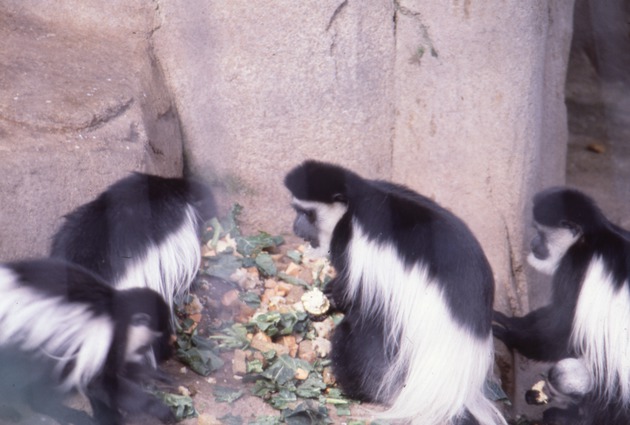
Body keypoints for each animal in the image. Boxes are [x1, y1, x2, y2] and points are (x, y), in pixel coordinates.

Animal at [0, 256, 174, 424]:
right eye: (146, 345)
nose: (143, 352)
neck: (117, 315)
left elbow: (121, 368)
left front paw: (160, 376)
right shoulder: (105, 339)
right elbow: (100, 383)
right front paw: (158, 408)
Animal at [284, 160, 506, 424]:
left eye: (308, 214)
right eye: (297, 210)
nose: (296, 228)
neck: (351, 210)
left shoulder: (355, 245)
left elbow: (355, 291)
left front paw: (332, 297)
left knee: (358, 337)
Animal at [496, 187, 630, 422]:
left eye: (540, 232)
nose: (533, 243)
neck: (587, 238)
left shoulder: (573, 265)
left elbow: (562, 329)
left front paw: (507, 334)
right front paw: (511, 321)